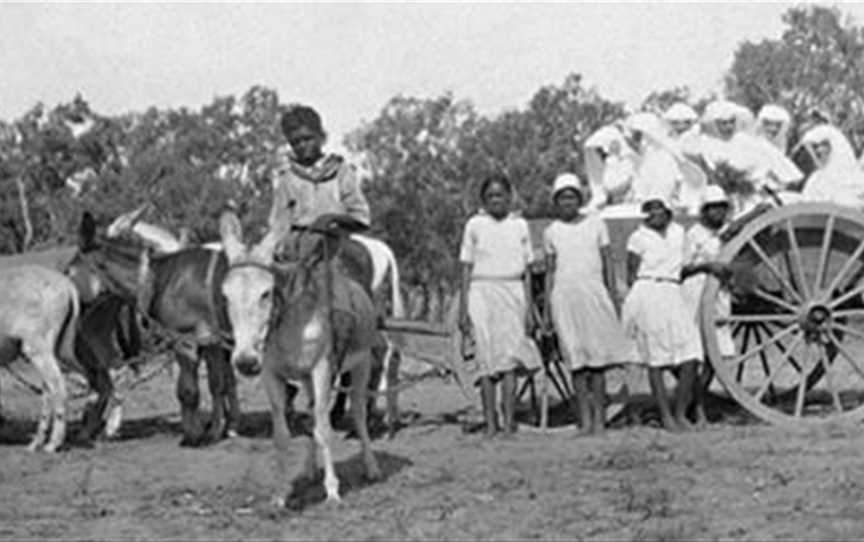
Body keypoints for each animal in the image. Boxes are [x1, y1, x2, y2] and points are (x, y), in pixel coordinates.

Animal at [67, 215, 240, 448]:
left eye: (68, 271)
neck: (158, 279)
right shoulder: (209, 341)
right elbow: (215, 385)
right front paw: (214, 430)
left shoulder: (189, 341)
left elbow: (190, 390)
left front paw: (194, 435)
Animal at [218, 209, 394, 510]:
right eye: (226, 295)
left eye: (266, 293)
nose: (245, 361)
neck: (287, 322)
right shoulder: (271, 375)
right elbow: (283, 435)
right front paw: (280, 493)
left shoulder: (322, 369)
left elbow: (324, 429)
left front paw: (333, 491)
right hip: (307, 380)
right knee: (313, 413)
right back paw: (311, 470)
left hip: (360, 366)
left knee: (358, 413)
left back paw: (371, 467)